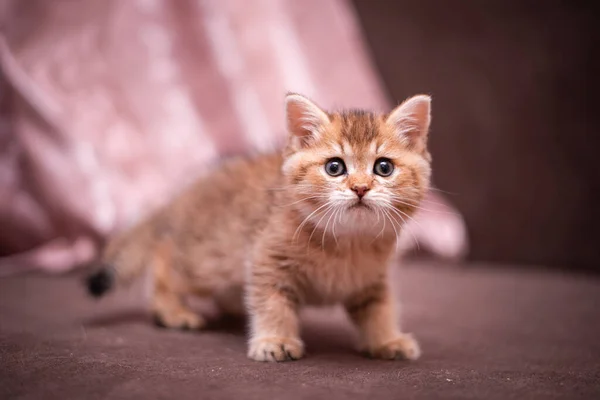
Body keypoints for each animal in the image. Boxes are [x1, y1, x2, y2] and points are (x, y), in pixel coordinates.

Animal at [86, 93, 432, 362]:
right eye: (334, 167)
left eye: (383, 167)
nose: (360, 188)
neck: (346, 242)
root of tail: (181, 195)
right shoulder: (268, 260)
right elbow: (273, 304)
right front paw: (275, 340)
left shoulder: (374, 280)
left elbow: (380, 309)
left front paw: (387, 339)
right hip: (205, 261)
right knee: (163, 258)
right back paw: (171, 310)